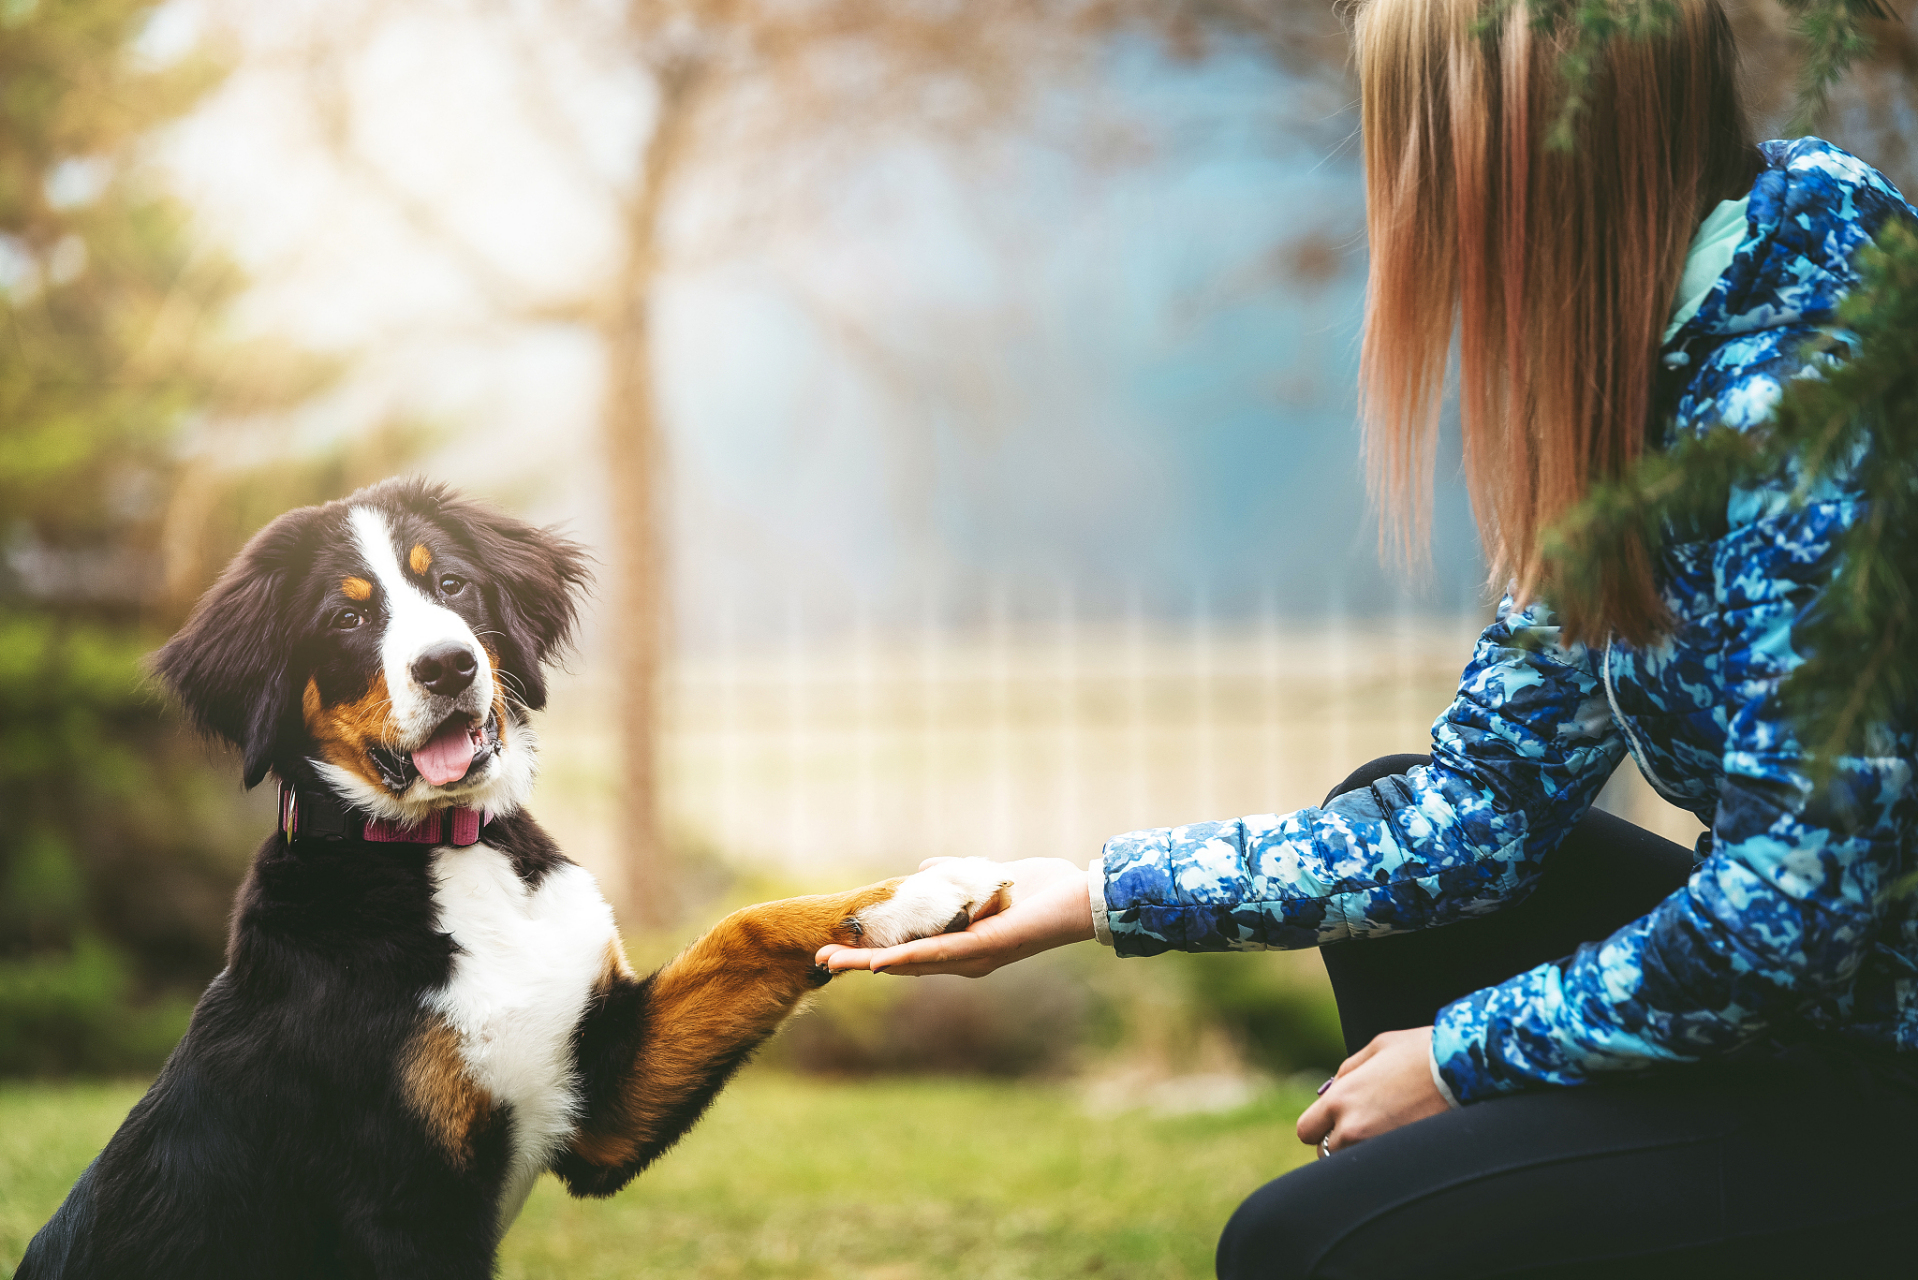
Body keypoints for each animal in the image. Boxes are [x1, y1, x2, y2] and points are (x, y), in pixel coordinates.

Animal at [22, 479, 1012, 1280]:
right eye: (346, 619)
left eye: (452, 585)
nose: (447, 665)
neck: (447, 851)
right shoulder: (403, 1204)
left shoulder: (602, 1090)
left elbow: (748, 927)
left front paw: (915, 899)